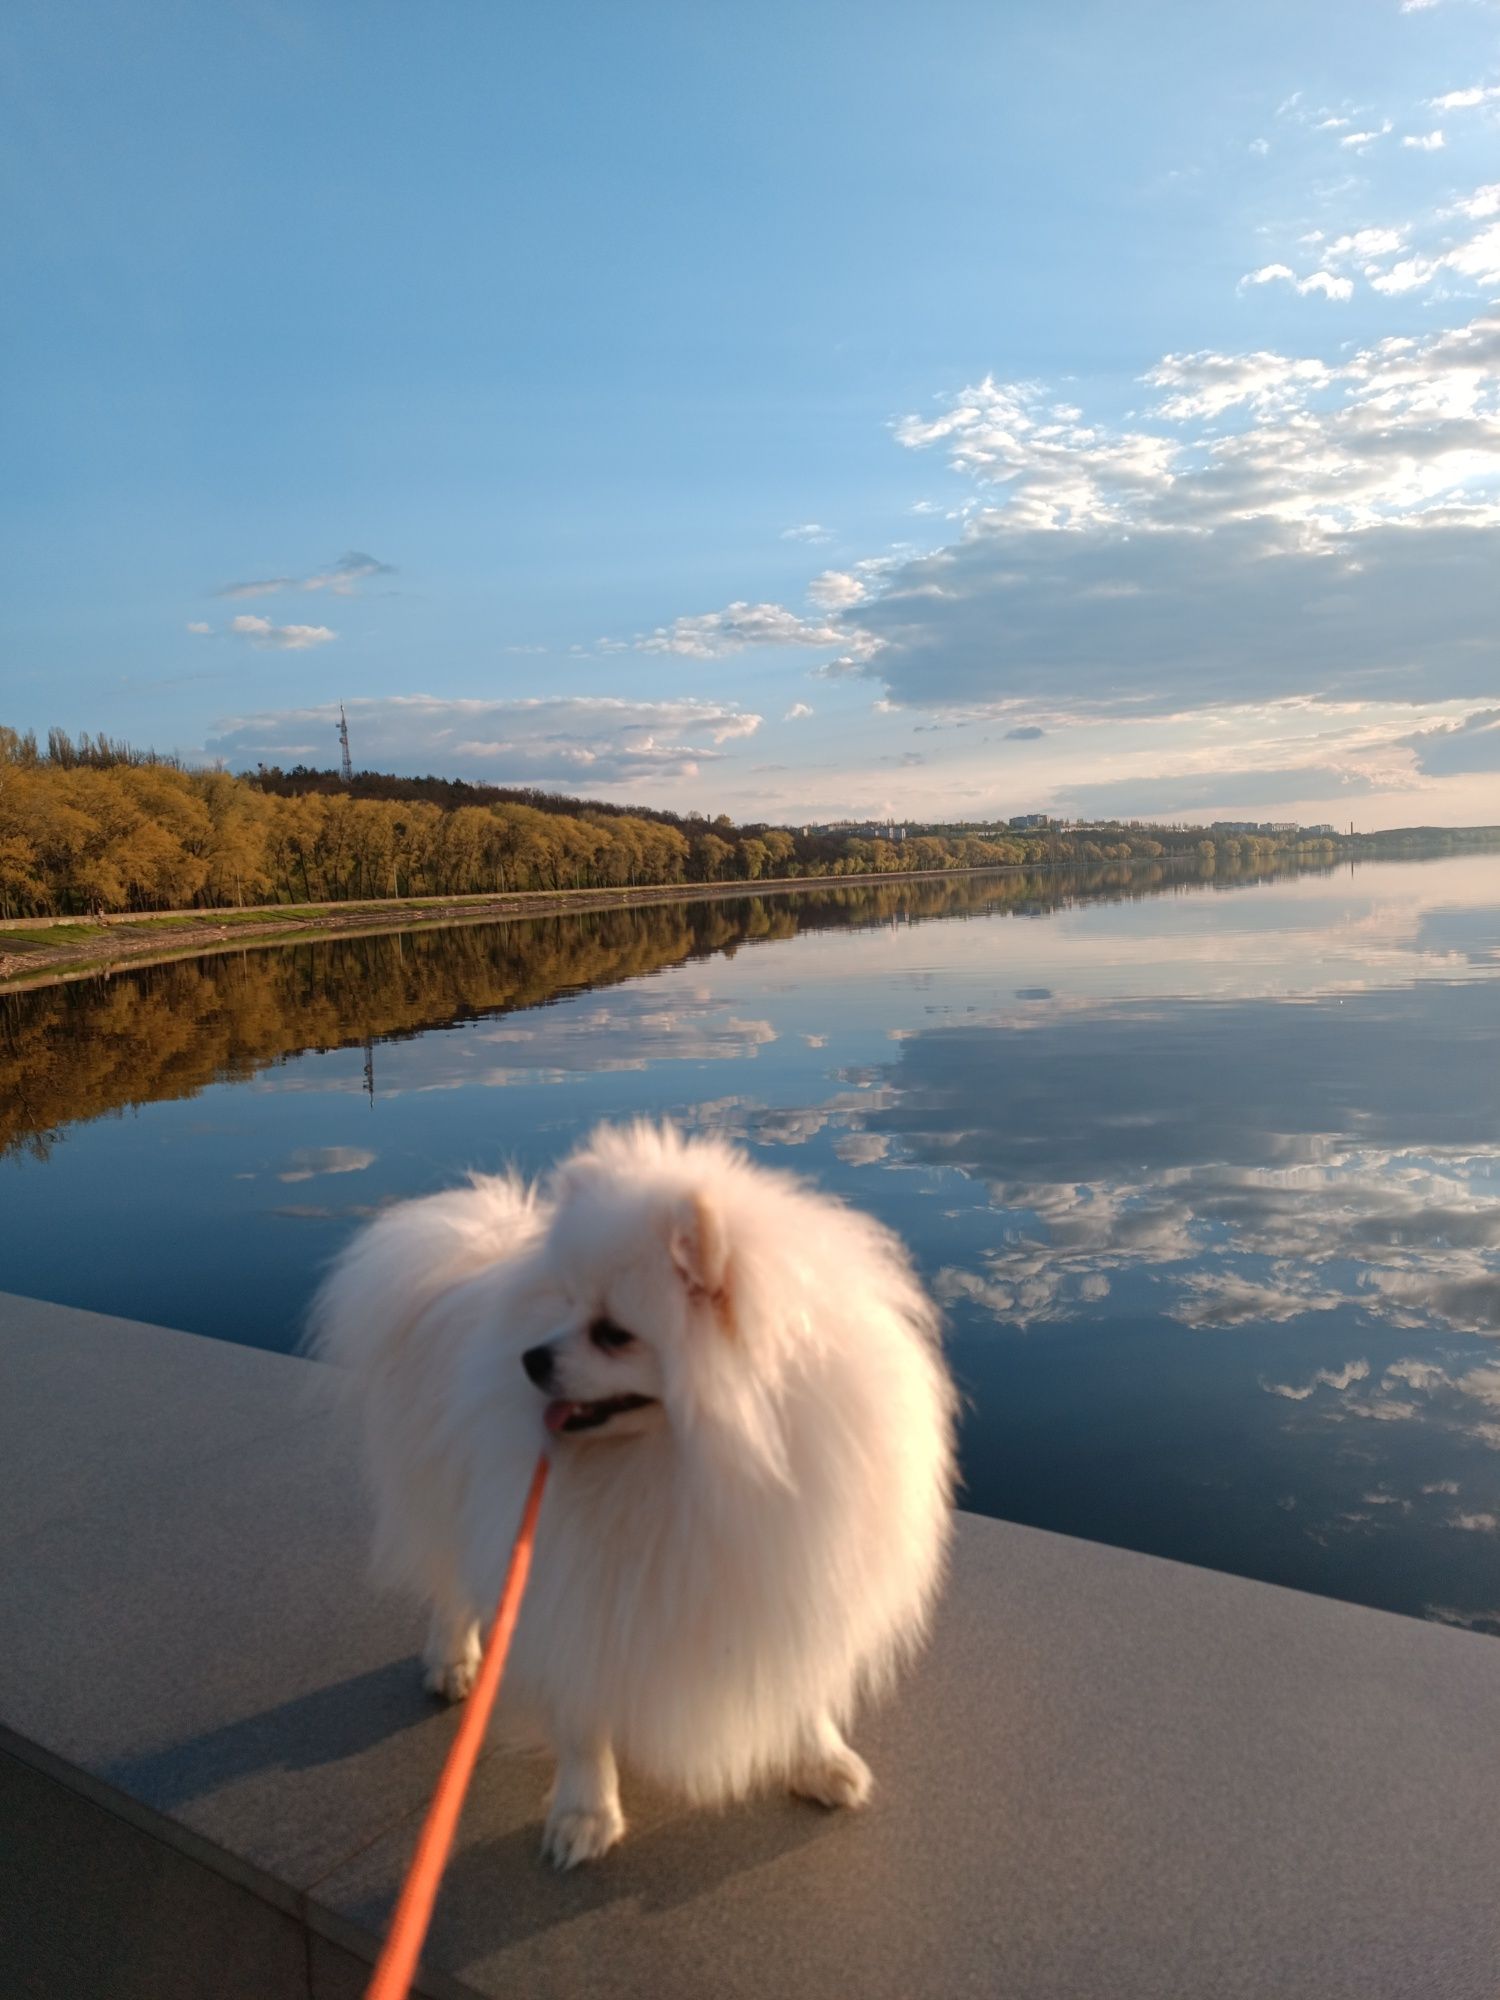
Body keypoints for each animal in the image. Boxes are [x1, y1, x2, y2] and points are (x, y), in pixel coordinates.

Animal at [312, 1120, 956, 1864]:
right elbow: (583, 1712)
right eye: (565, 1305)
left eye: (613, 1334)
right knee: (449, 1584)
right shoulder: (575, 1582)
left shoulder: (797, 1576)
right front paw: (584, 1815)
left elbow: (800, 1682)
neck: (685, 1466)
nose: (531, 1357)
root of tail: (471, 1260)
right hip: (447, 1497)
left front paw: (819, 1760)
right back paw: (453, 1661)